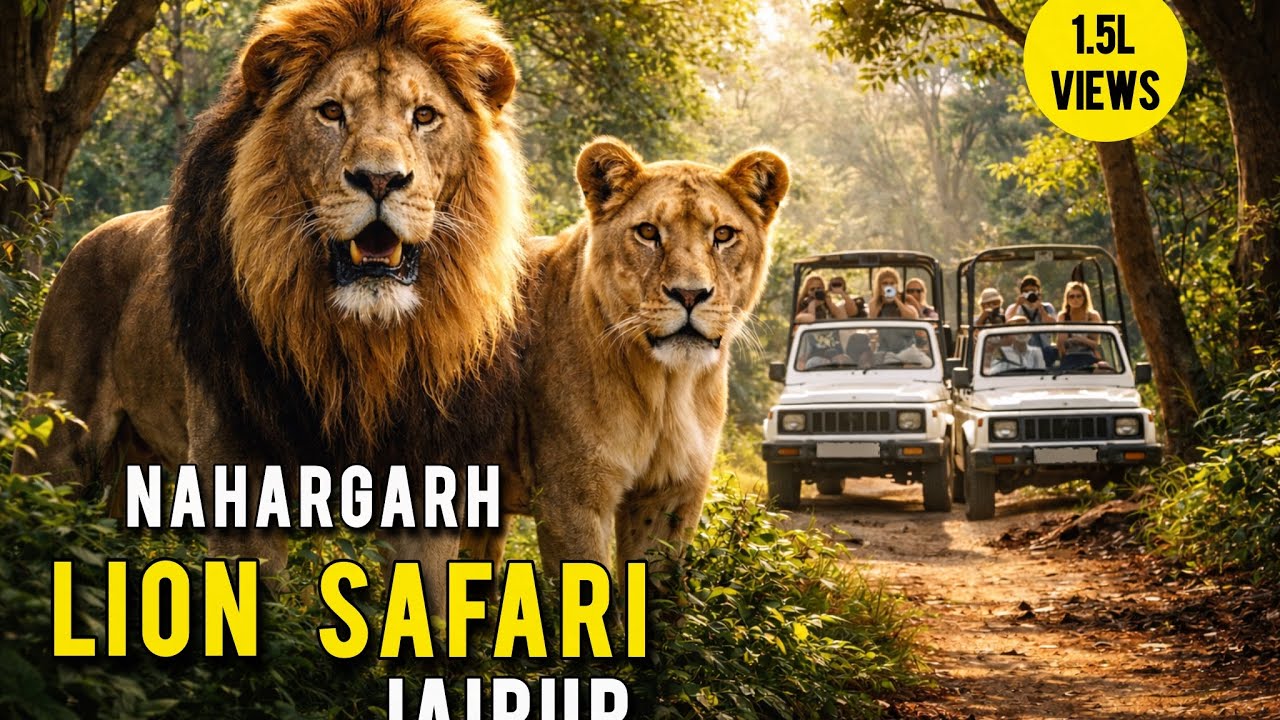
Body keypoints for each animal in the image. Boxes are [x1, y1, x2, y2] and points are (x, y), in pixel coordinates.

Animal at [18, 0, 526, 609]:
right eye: (331, 112)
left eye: (424, 116)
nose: (379, 179)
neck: (365, 345)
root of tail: (82, 243)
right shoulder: (238, 468)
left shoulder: (431, 475)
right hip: (56, 444)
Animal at [468, 138, 789, 581]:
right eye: (648, 232)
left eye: (723, 234)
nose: (690, 294)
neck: (667, 389)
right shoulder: (570, 497)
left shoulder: (670, 497)